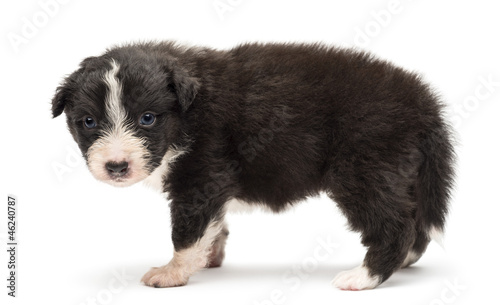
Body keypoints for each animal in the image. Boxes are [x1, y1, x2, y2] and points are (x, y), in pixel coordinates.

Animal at [52, 41, 456, 290]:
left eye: (147, 118)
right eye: (88, 121)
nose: (116, 166)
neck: (188, 112)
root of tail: (424, 102)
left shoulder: (202, 176)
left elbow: (187, 232)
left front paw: (172, 272)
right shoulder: (210, 185)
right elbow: (214, 225)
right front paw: (209, 258)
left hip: (363, 171)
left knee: (393, 225)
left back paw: (363, 277)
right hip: (403, 172)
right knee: (414, 218)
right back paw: (403, 261)